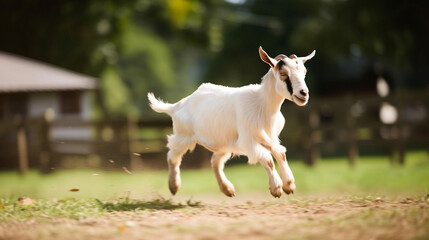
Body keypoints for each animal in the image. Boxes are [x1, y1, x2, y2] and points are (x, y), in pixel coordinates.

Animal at [147, 46, 314, 197]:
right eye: (283, 74)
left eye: (304, 72)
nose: (303, 94)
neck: (262, 104)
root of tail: (177, 105)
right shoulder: (247, 141)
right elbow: (268, 159)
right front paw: (277, 188)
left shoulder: (270, 137)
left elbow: (280, 154)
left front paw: (289, 185)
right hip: (184, 136)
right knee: (173, 156)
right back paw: (174, 186)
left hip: (224, 143)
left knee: (215, 161)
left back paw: (227, 189)